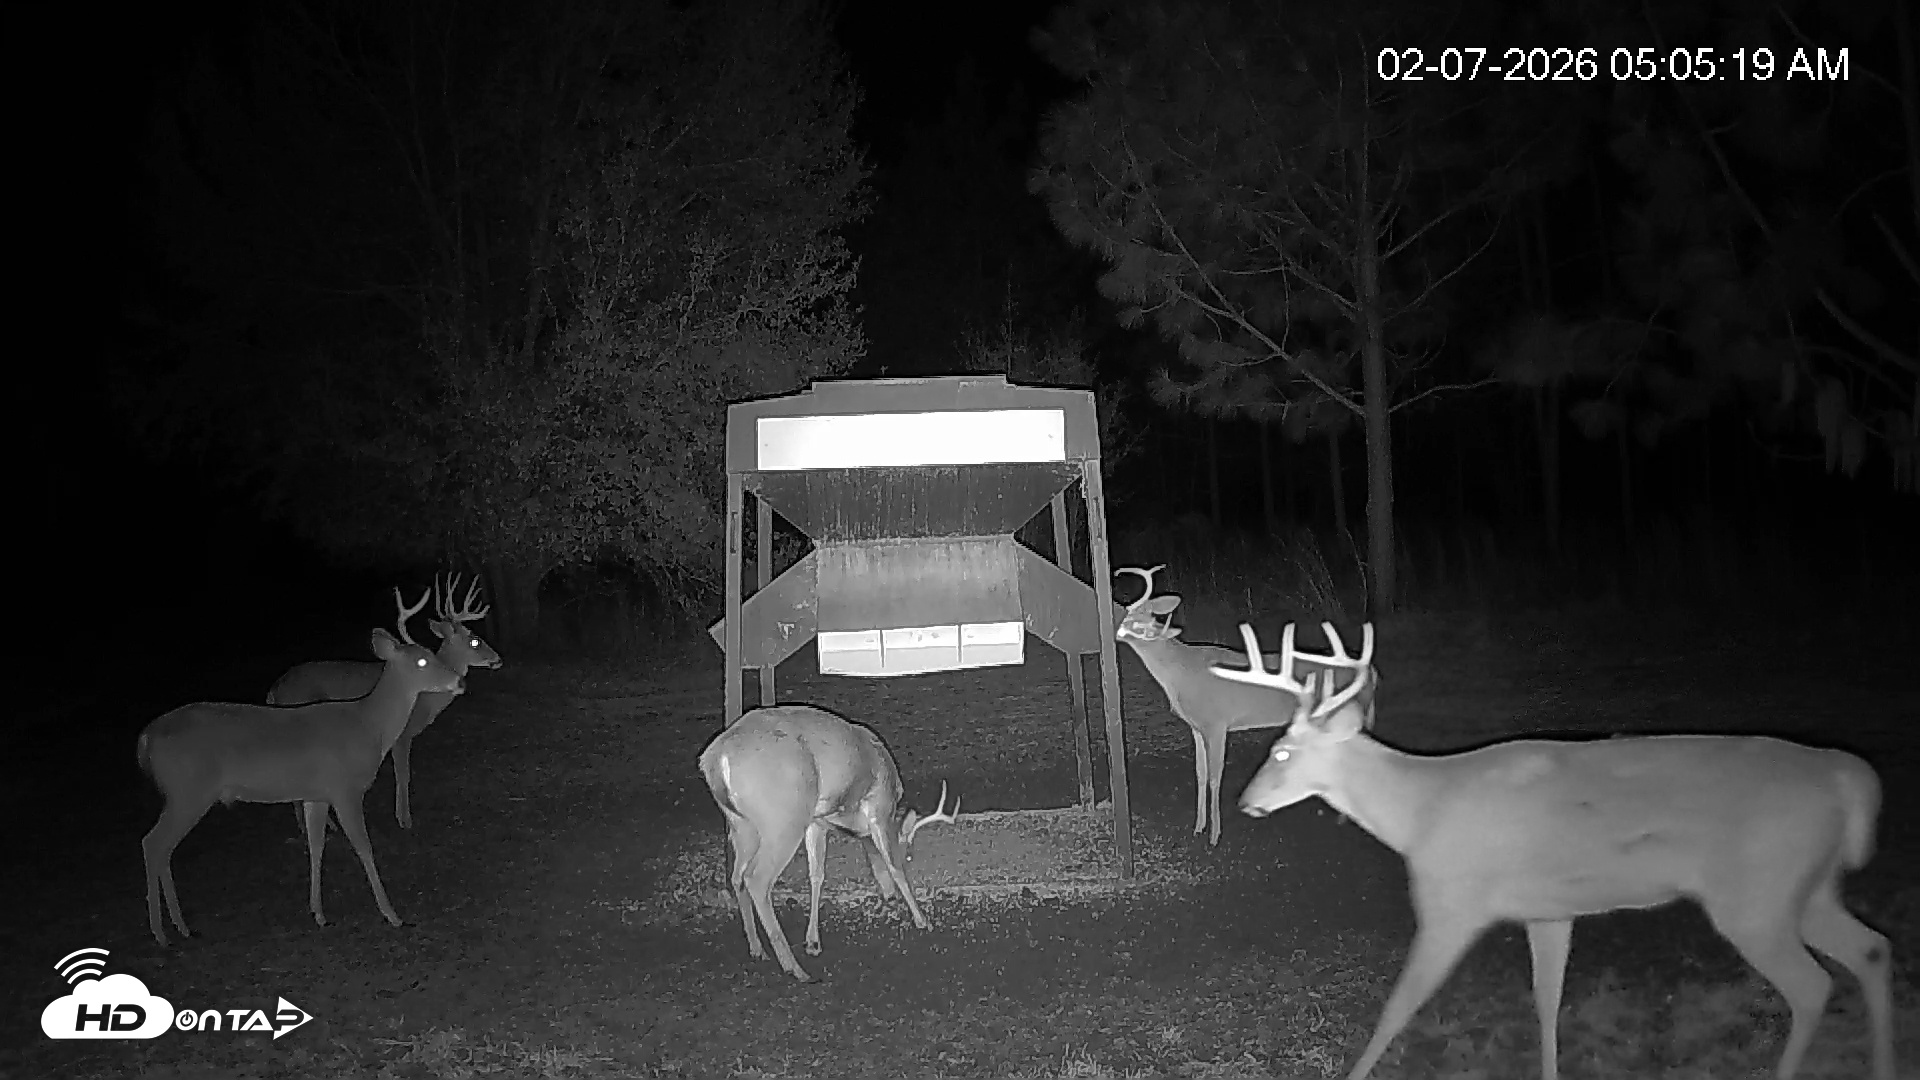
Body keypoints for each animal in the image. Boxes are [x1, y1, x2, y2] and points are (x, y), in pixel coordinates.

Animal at [138, 587, 466, 946]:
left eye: (432, 652)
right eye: (422, 661)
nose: (460, 681)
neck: (367, 725)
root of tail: (145, 737)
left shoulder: (316, 794)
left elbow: (316, 845)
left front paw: (319, 914)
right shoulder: (344, 789)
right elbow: (364, 847)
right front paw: (393, 915)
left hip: (184, 794)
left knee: (162, 848)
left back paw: (180, 927)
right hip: (189, 791)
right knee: (153, 843)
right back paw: (162, 933)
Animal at [267, 572, 501, 831]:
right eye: (475, 641)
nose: (498, 659)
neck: (426, 700)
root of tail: (274, 690)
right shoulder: (402, 735)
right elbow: (403, 775)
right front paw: (404, 819)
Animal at [699, 704, 960, 982]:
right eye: (909, 854)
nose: (888, 896)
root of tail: (715, 759)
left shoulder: (818, 822)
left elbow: (817, 875)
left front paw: (813, 942)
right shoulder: (878, 807)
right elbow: (893, 864)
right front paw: (923, 921)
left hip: (741, 825)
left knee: (737, 876)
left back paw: (757, 949)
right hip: (784, 818)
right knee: (756, 878)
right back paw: (794, 968)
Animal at [1112, 564, 1325, 845]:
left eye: (1140, 623)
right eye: (1128, 612)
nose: (1117, 631)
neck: (1182, 674)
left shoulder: (1217, 723)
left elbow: (1215, 777)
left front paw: (1214, 836)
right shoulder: (1196, 726)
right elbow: (1200, 774)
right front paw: (1198, 826)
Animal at [1210, 620, 1896, 1080]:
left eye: (1281, 752)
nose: (1245, 802)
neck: (1419, 812)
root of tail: (1847, 778)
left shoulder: (1450, 902)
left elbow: (1397, 1007)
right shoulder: (1548, 910)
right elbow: (1546, 1003)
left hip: (1756, 893)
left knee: (1812, 984)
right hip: (1804, 887)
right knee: (1872, 948)